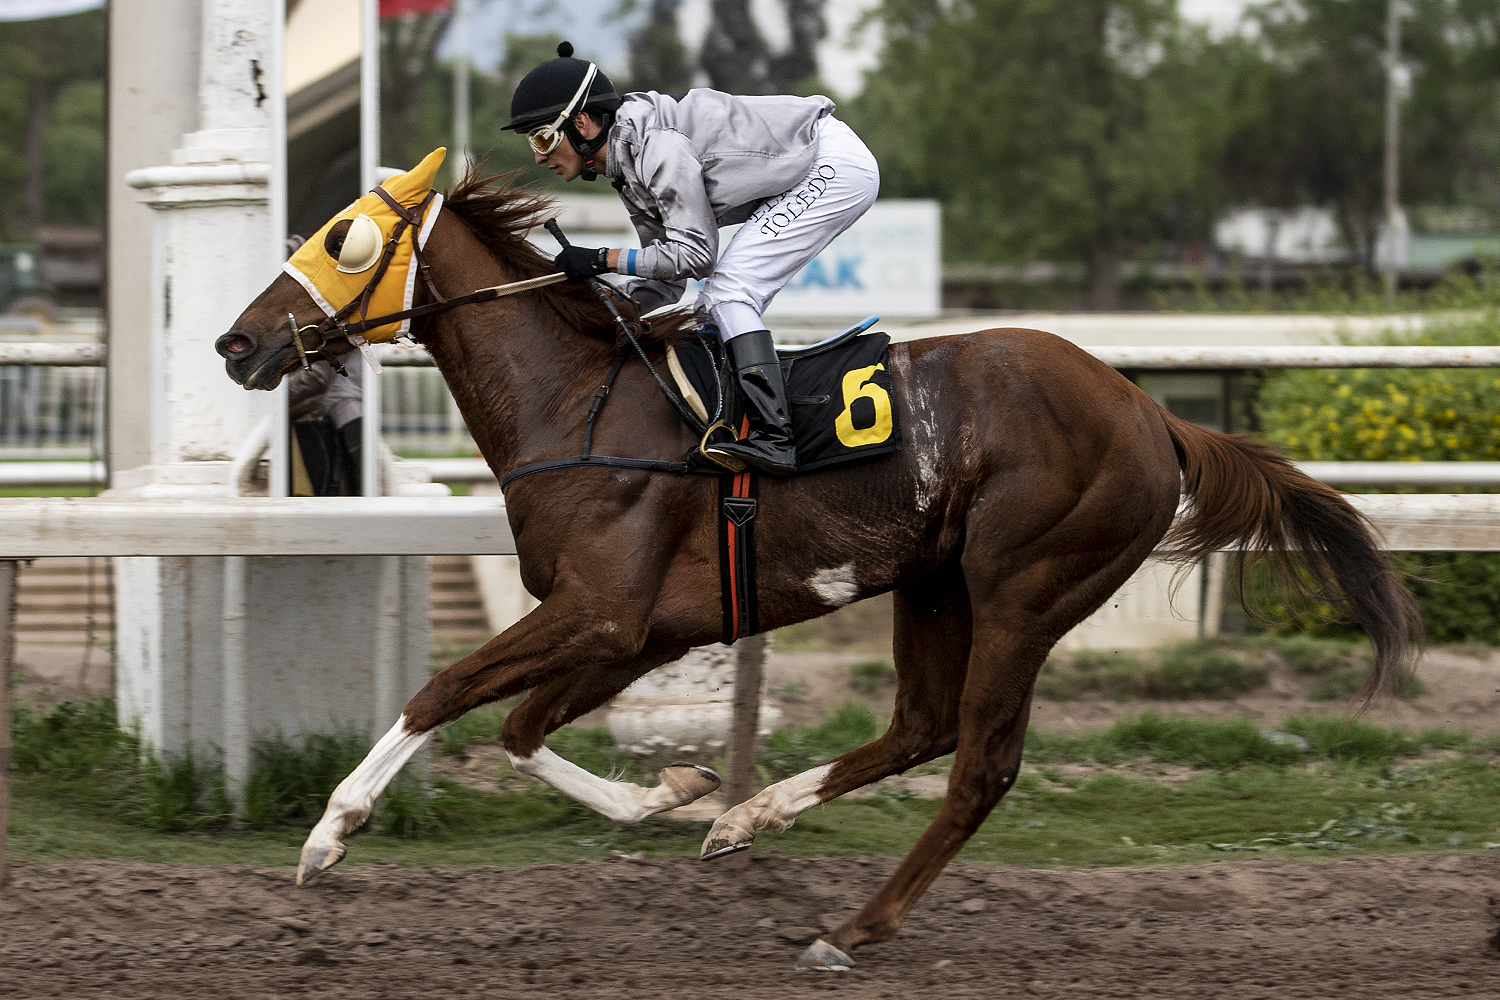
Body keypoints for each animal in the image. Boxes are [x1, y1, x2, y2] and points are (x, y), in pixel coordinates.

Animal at [216, 160, 1420, 971]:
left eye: (344, 239)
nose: (237, 343)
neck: (582, 403)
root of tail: (1151, 410)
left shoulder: (602, 610)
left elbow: (444, 691)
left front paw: (328, 835)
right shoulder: (638, 626)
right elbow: (517, 729)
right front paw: (682, 791)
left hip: (1026, 588)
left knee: (980, 762)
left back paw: (854, 925)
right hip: (935, 583)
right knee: (923, 726)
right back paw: (752, 819)